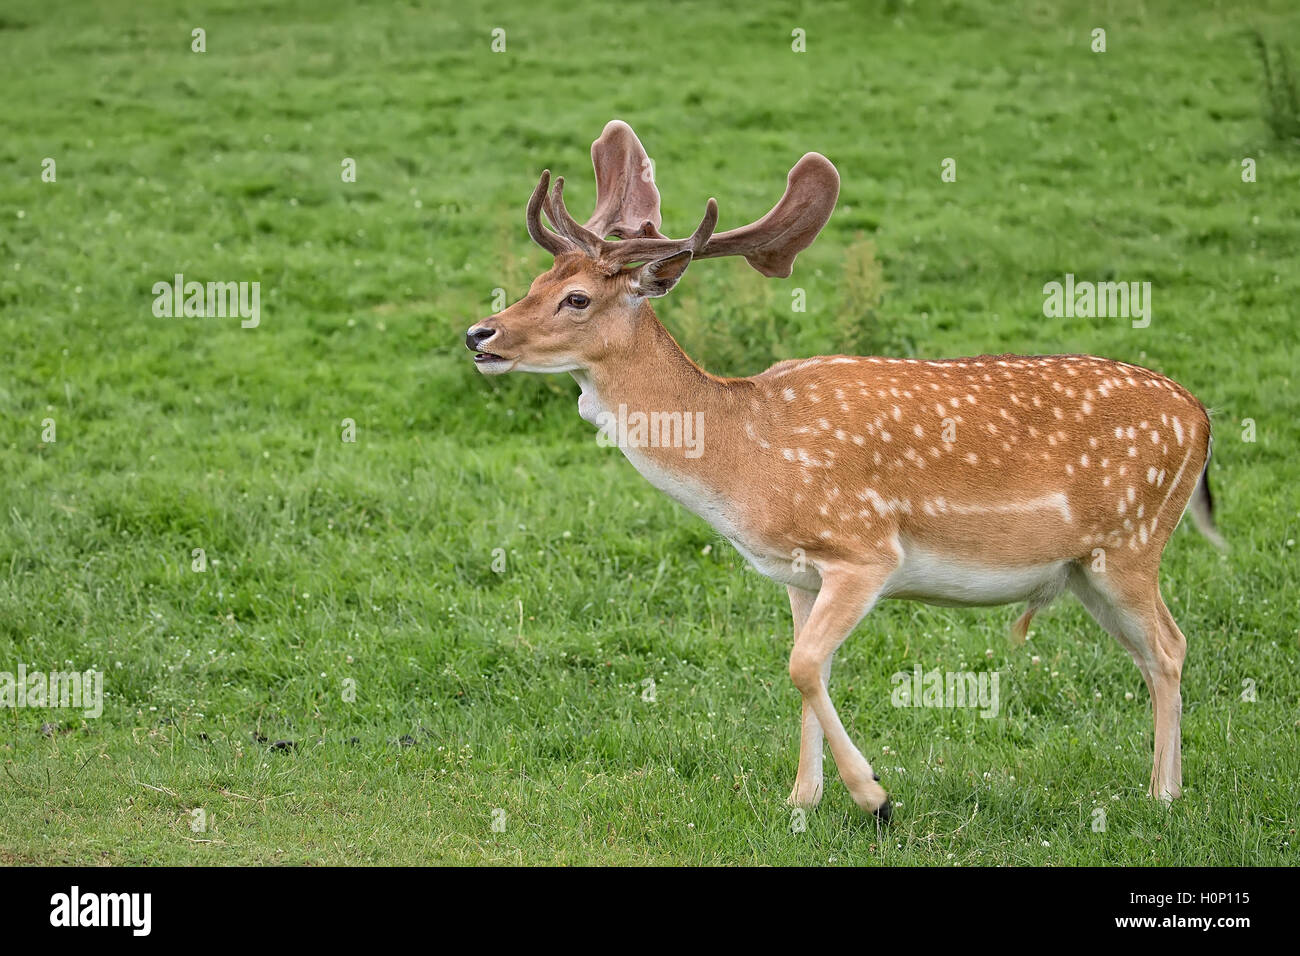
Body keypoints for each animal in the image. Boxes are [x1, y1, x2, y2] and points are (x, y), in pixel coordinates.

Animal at [462, 121, 1222, 822]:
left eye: (577, 299)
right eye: (535, 281)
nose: (479, 334)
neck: (746, 465)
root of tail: (1202, 417)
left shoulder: (864, 550)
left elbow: (801, 665)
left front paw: (874, 796)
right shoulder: (798, 573)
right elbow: (808, 665)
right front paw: (802, 799)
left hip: (1132, 543)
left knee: (1171, 645)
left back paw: (1163, 795)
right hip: (1084, 568)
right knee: (1155, 650)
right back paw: (1167, 785)